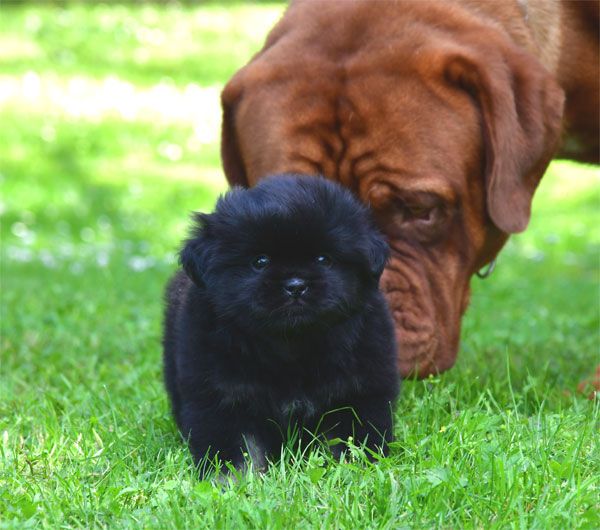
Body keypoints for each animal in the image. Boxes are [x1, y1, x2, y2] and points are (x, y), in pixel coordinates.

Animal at [163, 175, 399, 475]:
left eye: (324, 259)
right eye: (260, 261)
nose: (295, 285)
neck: (290, 346)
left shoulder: (359, 390)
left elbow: (353, 441)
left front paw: (355, 472)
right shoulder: (222, 398)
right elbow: (238, 452)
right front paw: (235, 481)